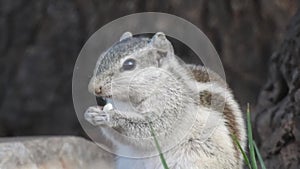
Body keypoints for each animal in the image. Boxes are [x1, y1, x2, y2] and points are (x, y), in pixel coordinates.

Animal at [84, 32, 246, 169]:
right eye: (102, 57)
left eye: (129, 64)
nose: (94, 88)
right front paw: (91, 114)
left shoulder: (173, 107)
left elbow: (154, 126)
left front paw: (110, 117)